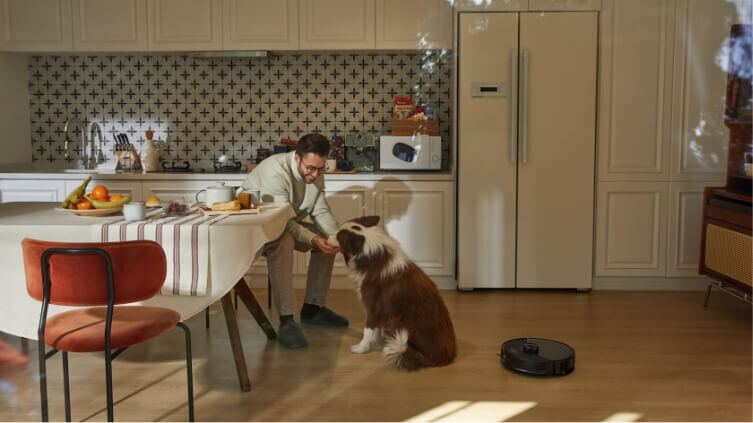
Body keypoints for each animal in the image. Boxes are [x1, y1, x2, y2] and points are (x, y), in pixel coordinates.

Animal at [330, 217, 458, 370]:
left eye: (339, 237)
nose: (327, 236)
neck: (370, 254)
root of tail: (440, 358)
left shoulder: (373, 306)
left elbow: (368, 329)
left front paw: (361, 347)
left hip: (396, 322)